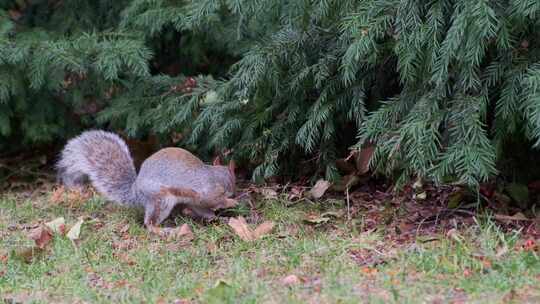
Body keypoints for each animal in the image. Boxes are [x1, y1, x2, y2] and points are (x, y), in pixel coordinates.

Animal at [55, 129, 238, 227]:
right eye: (234, 180)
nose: (235, 192)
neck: (215, 175)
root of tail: (136, 191)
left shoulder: (197, 201)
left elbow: (205, 210)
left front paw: (221, 217)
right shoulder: (208, 192)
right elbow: (214, 201)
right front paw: (231, 202)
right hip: (161, 199)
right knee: (149, 223)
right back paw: (164, 231)